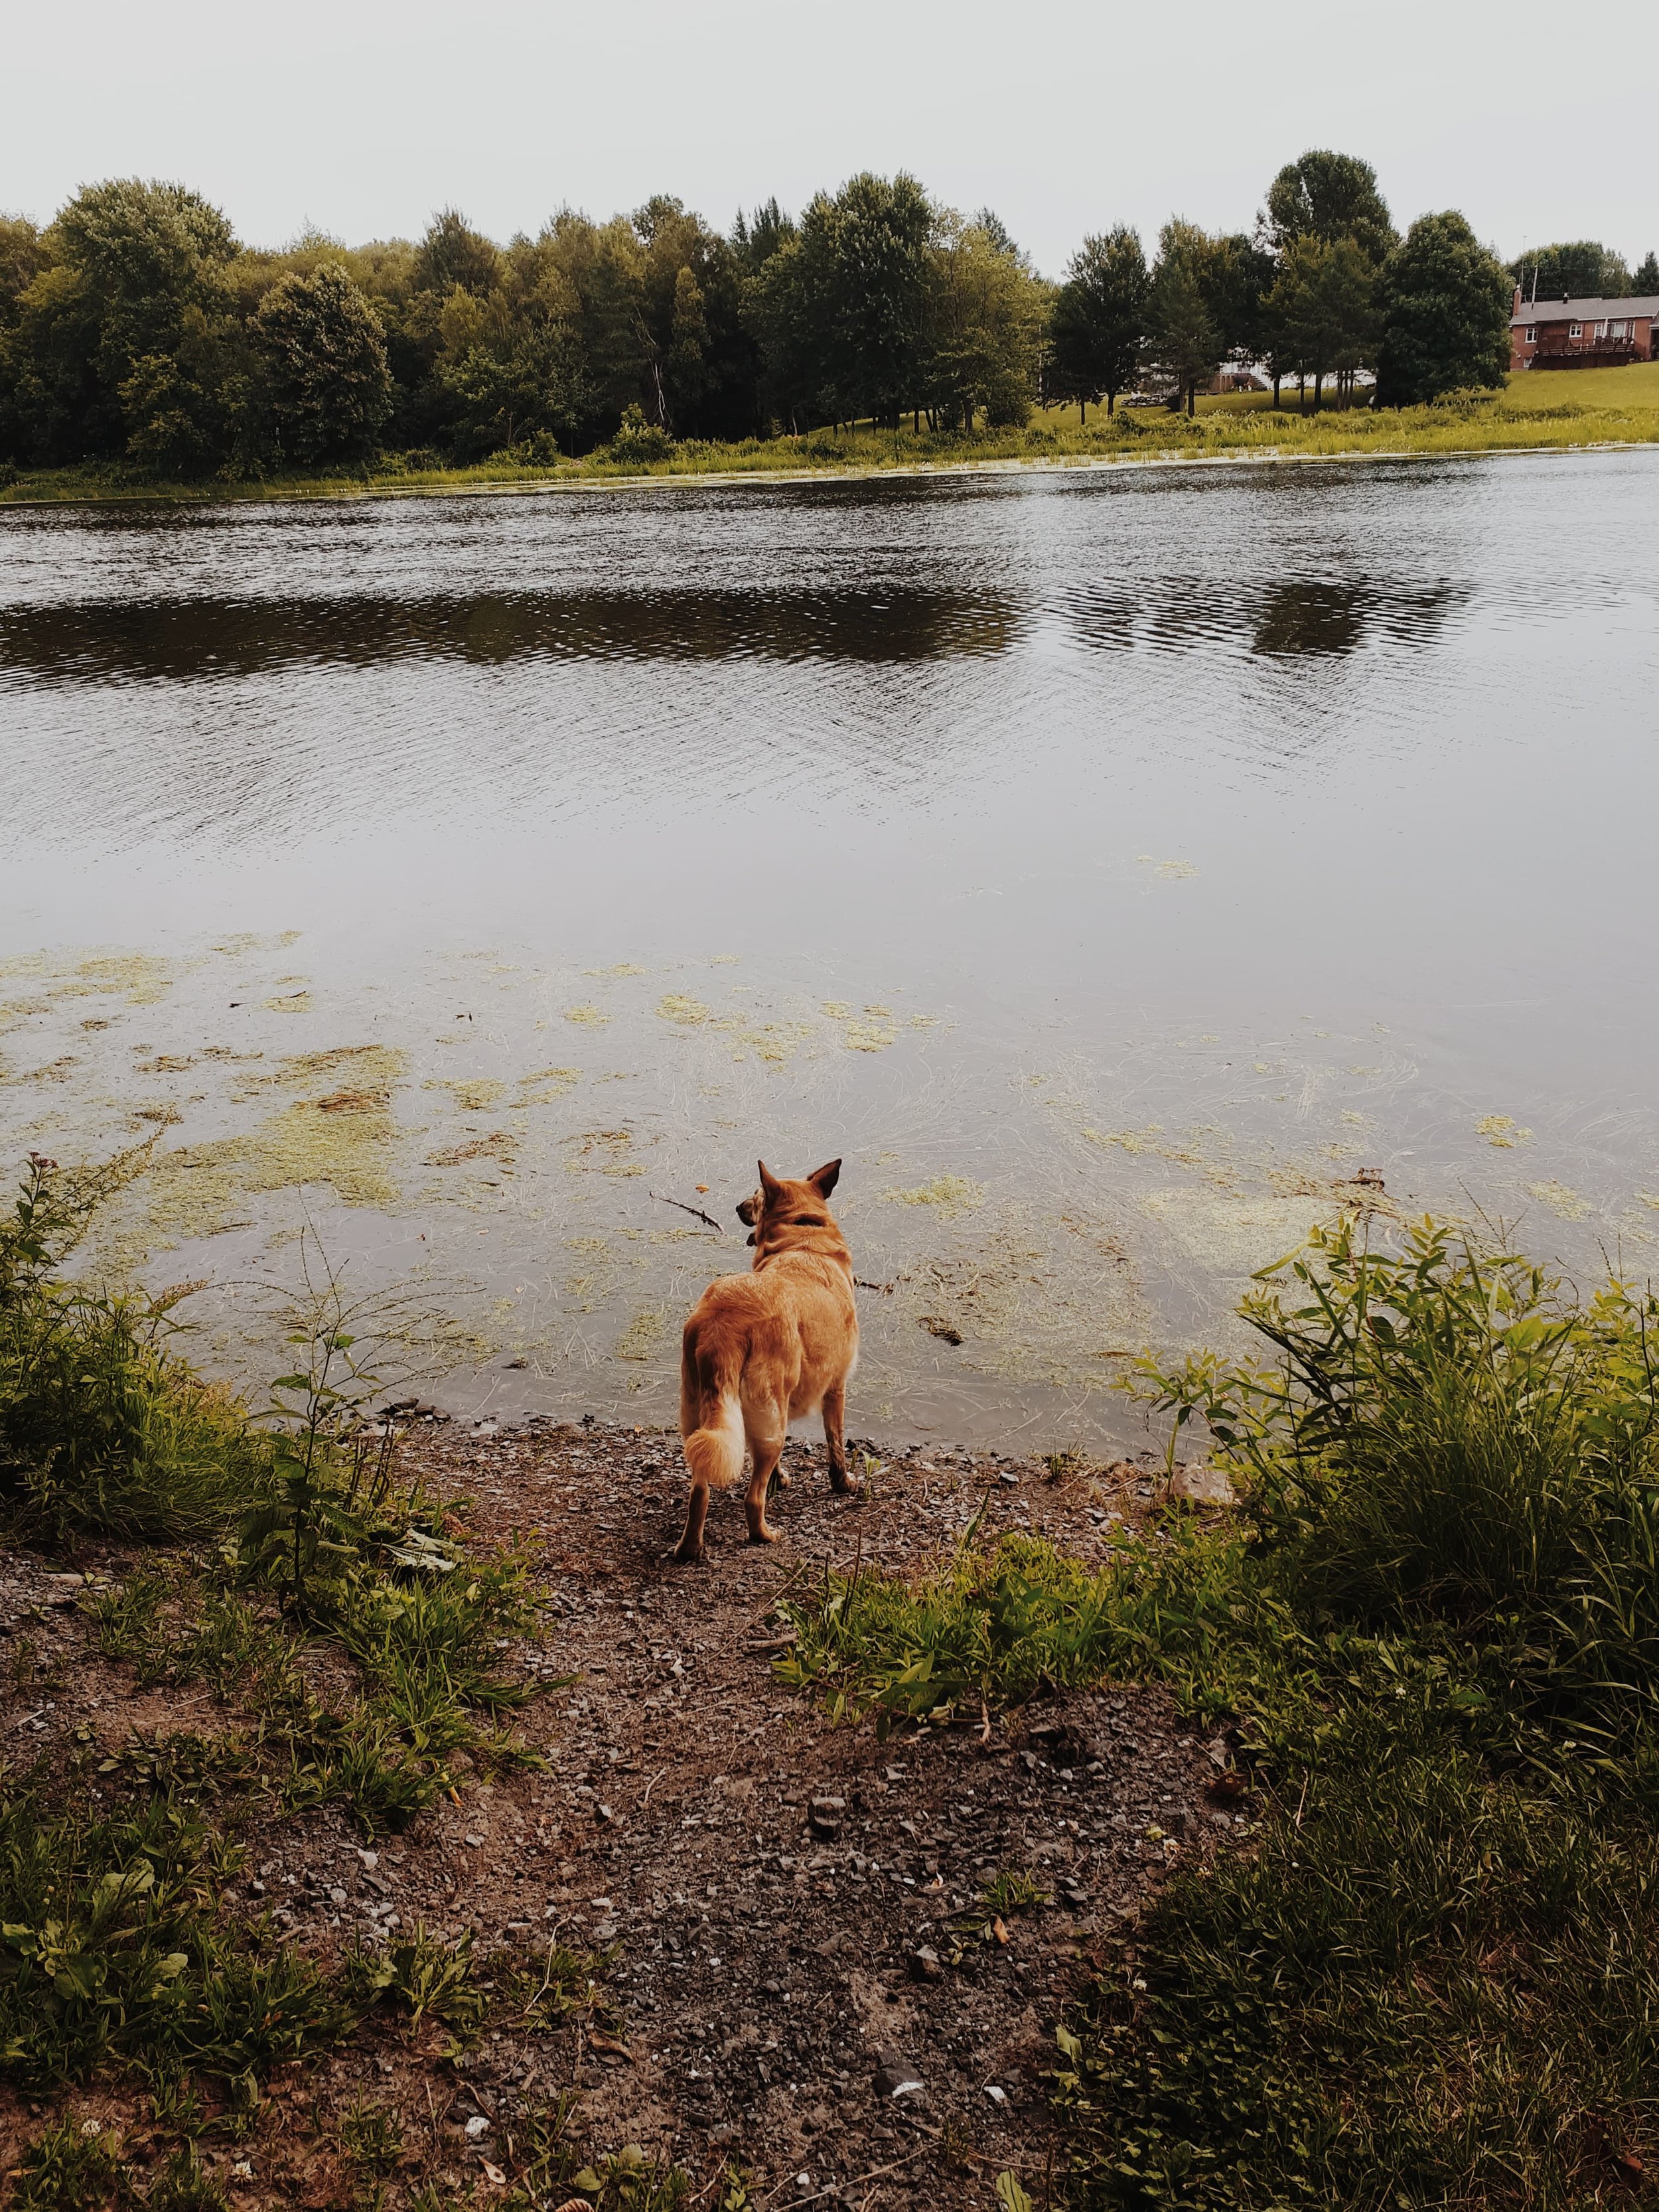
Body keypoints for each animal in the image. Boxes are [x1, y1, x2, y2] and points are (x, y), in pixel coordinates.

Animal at [672, 1167, 858, 1566]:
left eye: (755, 1197)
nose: (738, 1206)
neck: (802, 1237)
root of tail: (724, 1321)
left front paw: (779, 1476)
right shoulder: (835, 1388)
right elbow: (835, 1445)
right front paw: (843, 1484)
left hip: (701, 1417)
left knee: (700, 1489)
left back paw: (691, 1548)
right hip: (771, 1415)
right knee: (752, 1498)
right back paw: (764, 1535)